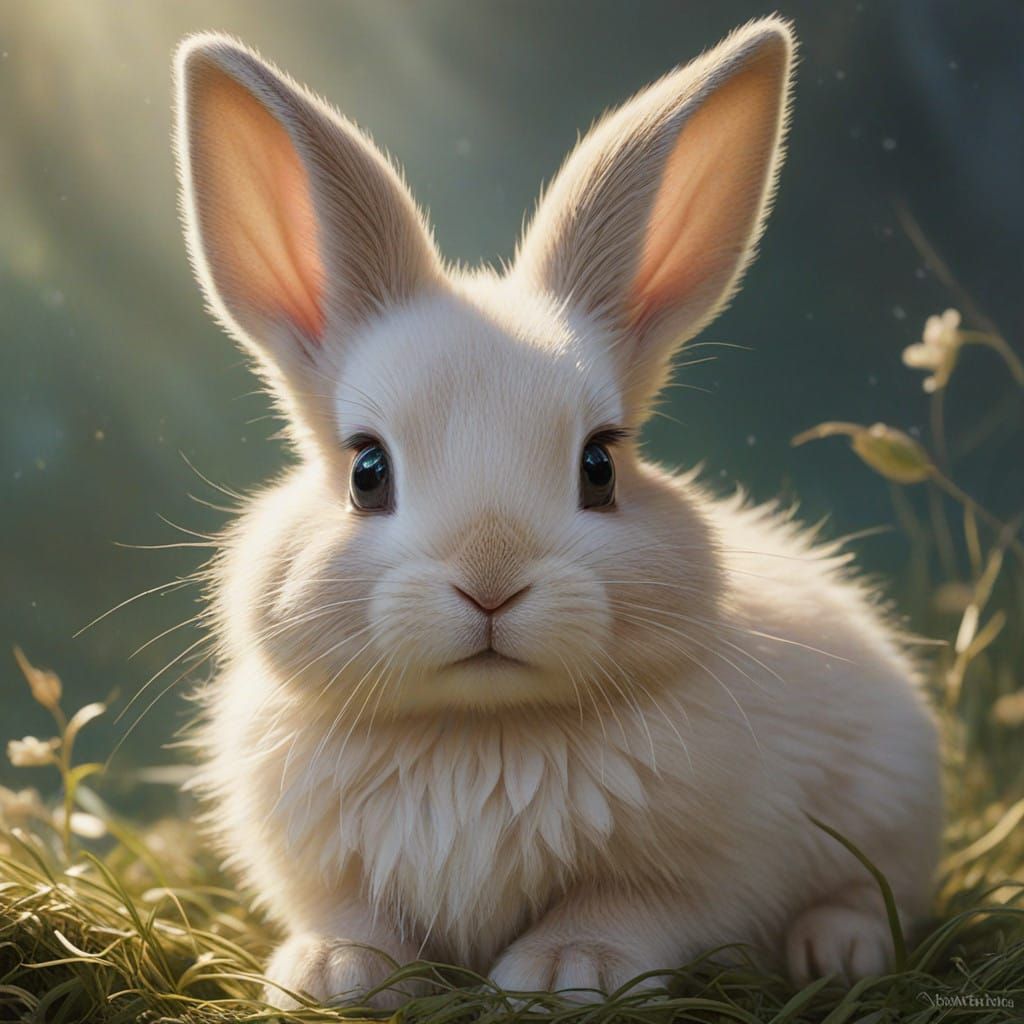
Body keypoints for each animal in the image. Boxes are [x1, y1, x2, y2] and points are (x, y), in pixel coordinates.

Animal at [173, 15, 942, 1010]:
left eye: (600, 466)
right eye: (367, 471)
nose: (490, 583)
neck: (481, 728)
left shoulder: (698, 870)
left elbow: (625, 908)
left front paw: (565, 971)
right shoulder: (323, 869)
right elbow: (355, 916)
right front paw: (332, 974)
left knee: (873, 892)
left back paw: (836, 949)